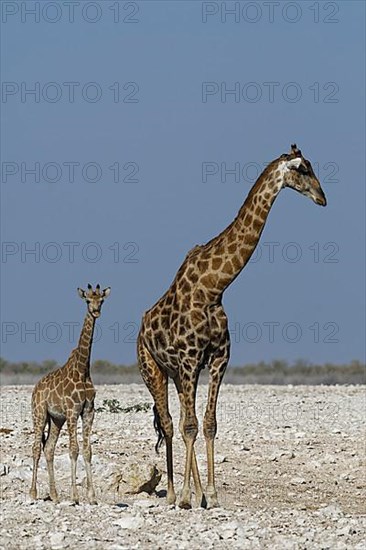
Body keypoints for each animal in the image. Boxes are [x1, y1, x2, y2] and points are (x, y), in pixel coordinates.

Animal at [29, 286, 110, 506]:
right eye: (87, 301)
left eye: (101, 300)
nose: (96, 311)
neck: (82, 370)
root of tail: (35, 389)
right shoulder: (73, 411)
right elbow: (74, 449)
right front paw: (75, 496)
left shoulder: (89, 411)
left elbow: (88, 451)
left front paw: (92, 497)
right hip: (39, 414)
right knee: (36, 448)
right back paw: (33, 493)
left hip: (56, 419)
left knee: (49, 448)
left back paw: (55, 495)